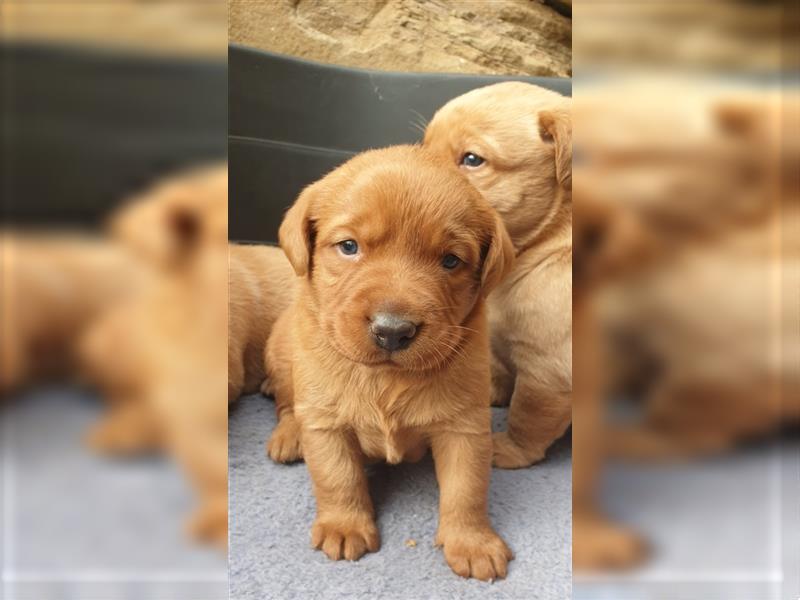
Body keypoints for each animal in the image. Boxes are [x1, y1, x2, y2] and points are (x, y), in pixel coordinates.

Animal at [264, 146, 512, 580]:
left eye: (451, 261)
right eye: (349, 246)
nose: (392, 331)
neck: (386, 378)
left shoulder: (465, 426)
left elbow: (467, 487)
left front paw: (472, 541)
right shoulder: (326, 422)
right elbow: (337, 476)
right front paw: (344, 525)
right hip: (282, 352)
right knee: (286, 402)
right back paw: (289, 434)